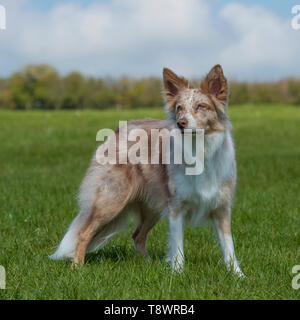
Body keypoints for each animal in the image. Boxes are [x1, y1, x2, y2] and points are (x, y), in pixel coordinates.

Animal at [51, 65, 244, 278]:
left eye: (201, 106)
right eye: (179, 108)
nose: (181, 123)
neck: (200, 150)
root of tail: (116, 131)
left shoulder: (221, 207)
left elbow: (229, 246)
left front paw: (238, 275)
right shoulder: (176, 207)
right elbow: (178, 246)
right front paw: (177, 273)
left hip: (152, 207)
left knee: (137, 235)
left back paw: (148, 264)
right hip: (111, 201)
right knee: (84, 232)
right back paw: (77, 266)